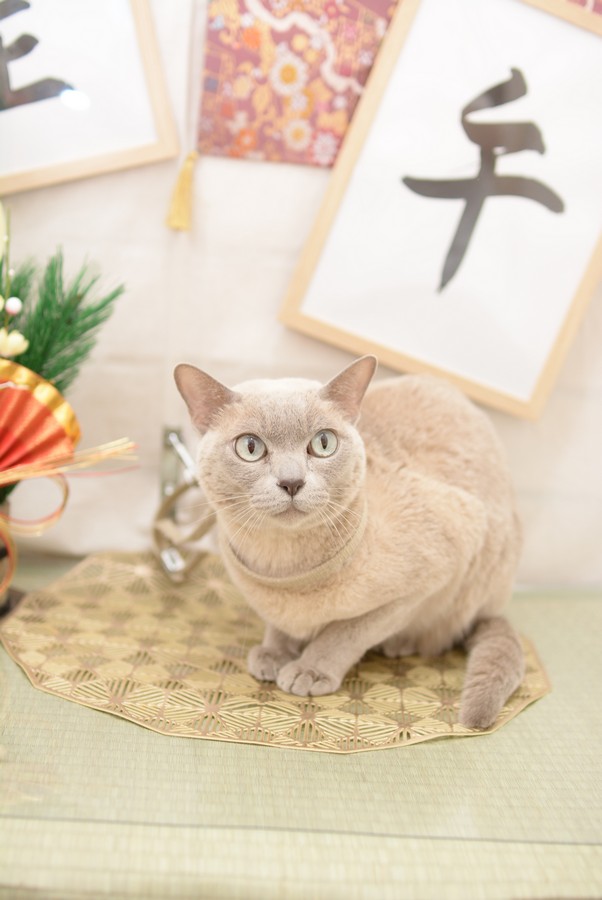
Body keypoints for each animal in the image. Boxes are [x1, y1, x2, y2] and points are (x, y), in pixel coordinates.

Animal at [175, 355, 525, 729]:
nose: (291, 481)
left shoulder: (428, 575)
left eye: (323, 443)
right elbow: (279, 624)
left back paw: (401, 643)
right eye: (250, 447)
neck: (282, 564)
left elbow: (347, 632)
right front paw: (275, 651)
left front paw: (310, 669)